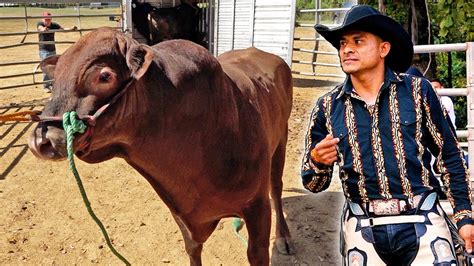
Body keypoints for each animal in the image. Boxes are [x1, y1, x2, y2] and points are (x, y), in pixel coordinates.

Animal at [27, 26, 294, 264]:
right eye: (56, 78)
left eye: (104, 76)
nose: (40, 140)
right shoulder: (182, 216)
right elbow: (192, 249)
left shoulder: (257, 207)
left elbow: (256, 252)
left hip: (281, 137)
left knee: (276, 187)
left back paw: (284, 237)